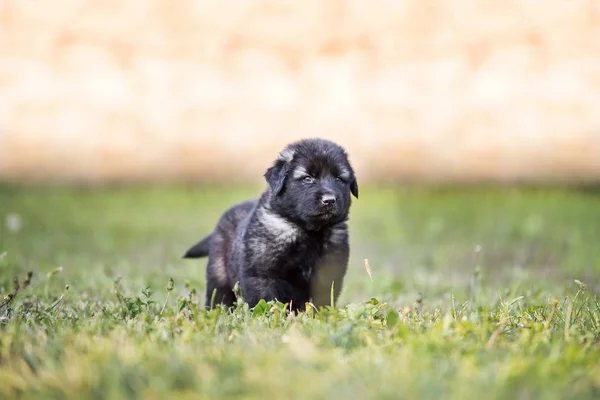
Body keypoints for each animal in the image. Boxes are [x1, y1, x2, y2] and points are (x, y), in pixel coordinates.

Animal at [183, 139, 358, 310]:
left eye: (339, 179)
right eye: (307, 178)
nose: (329, 200)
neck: (306, 230)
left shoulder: (328, 274)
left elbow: (322, 300)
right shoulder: (262, 275)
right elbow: (266, 301)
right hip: (219, 275)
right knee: (218, 296)